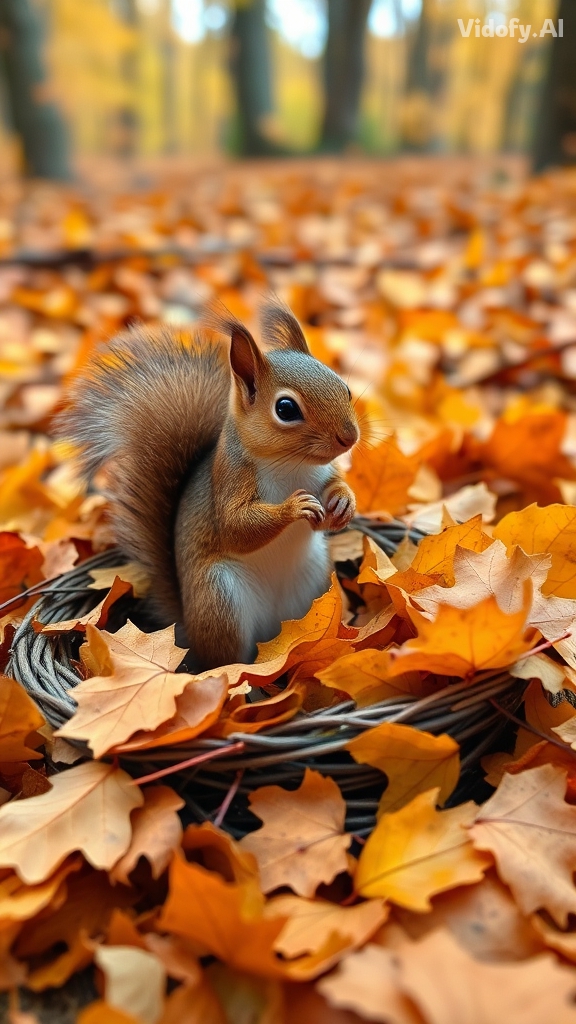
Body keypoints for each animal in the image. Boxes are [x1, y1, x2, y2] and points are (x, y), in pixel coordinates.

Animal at [58, 301, 359, 671]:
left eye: (344, 388)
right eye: (286, 409)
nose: (350, 437)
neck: (293, 465)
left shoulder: (323, 473)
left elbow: (332, 491)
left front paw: (344, 503)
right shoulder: (231, 480)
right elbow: (236, 527)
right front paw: (294, 507)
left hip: (315, 589)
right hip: (220, 600)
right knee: (226, 662)